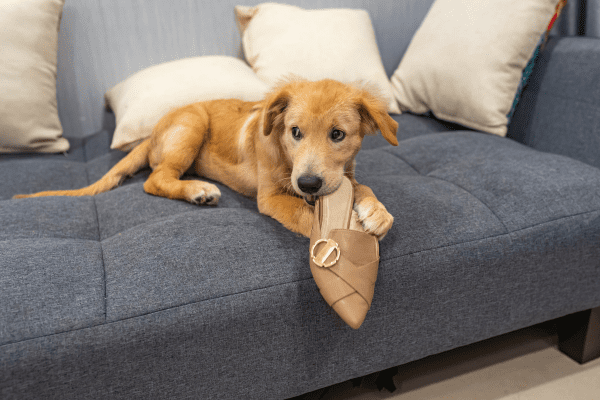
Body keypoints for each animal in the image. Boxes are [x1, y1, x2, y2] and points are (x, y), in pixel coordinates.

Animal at [14, 79, 398, 239]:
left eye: (338, 135)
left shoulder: (342, 175)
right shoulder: (271, 197)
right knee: (155, 179)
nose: (308, 183)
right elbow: (305, 216)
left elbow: (361, 187)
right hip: (192, 124)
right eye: (295, 132)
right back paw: (198, 190)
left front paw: (377, 213)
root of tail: (152, 132)